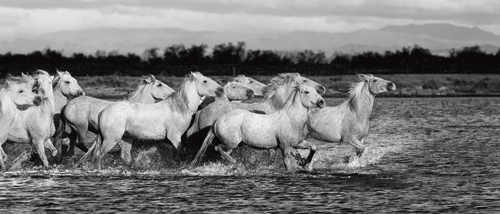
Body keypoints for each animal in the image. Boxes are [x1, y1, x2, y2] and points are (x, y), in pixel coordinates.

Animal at [77, 72, 224, 171]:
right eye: (205, 81)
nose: (221, 90)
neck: (179, 109)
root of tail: (103, 112)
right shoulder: (175, 137)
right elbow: (179, 155)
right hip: (111, 139)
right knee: (99, 155)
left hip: (125, 139)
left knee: (123, 156)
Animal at [189, 83, 326, 171]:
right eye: (307, 92)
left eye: (316, 91)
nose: (322, 102)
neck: (291, 119)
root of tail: (217, 121)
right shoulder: (285, 146)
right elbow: (288, 165)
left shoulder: (297, 143)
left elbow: (313, 147)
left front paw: (305, 162)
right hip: (231, 143)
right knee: (218, 148)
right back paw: (236, 163)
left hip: (231, 145)